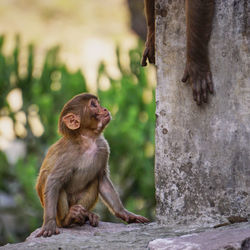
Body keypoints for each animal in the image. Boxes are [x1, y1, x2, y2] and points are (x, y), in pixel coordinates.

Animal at [35, 93, 148, 237]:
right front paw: (49, 223)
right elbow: (53, 181)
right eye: (94, 105)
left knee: (94, 181)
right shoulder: (67, 155)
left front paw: (124, 213)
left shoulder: (103, 147)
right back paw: (68, 219)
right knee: (51, 181)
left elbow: (102, 179)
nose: (104, 108)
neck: (87, 140)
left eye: (98, 104)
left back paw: (85, 216)